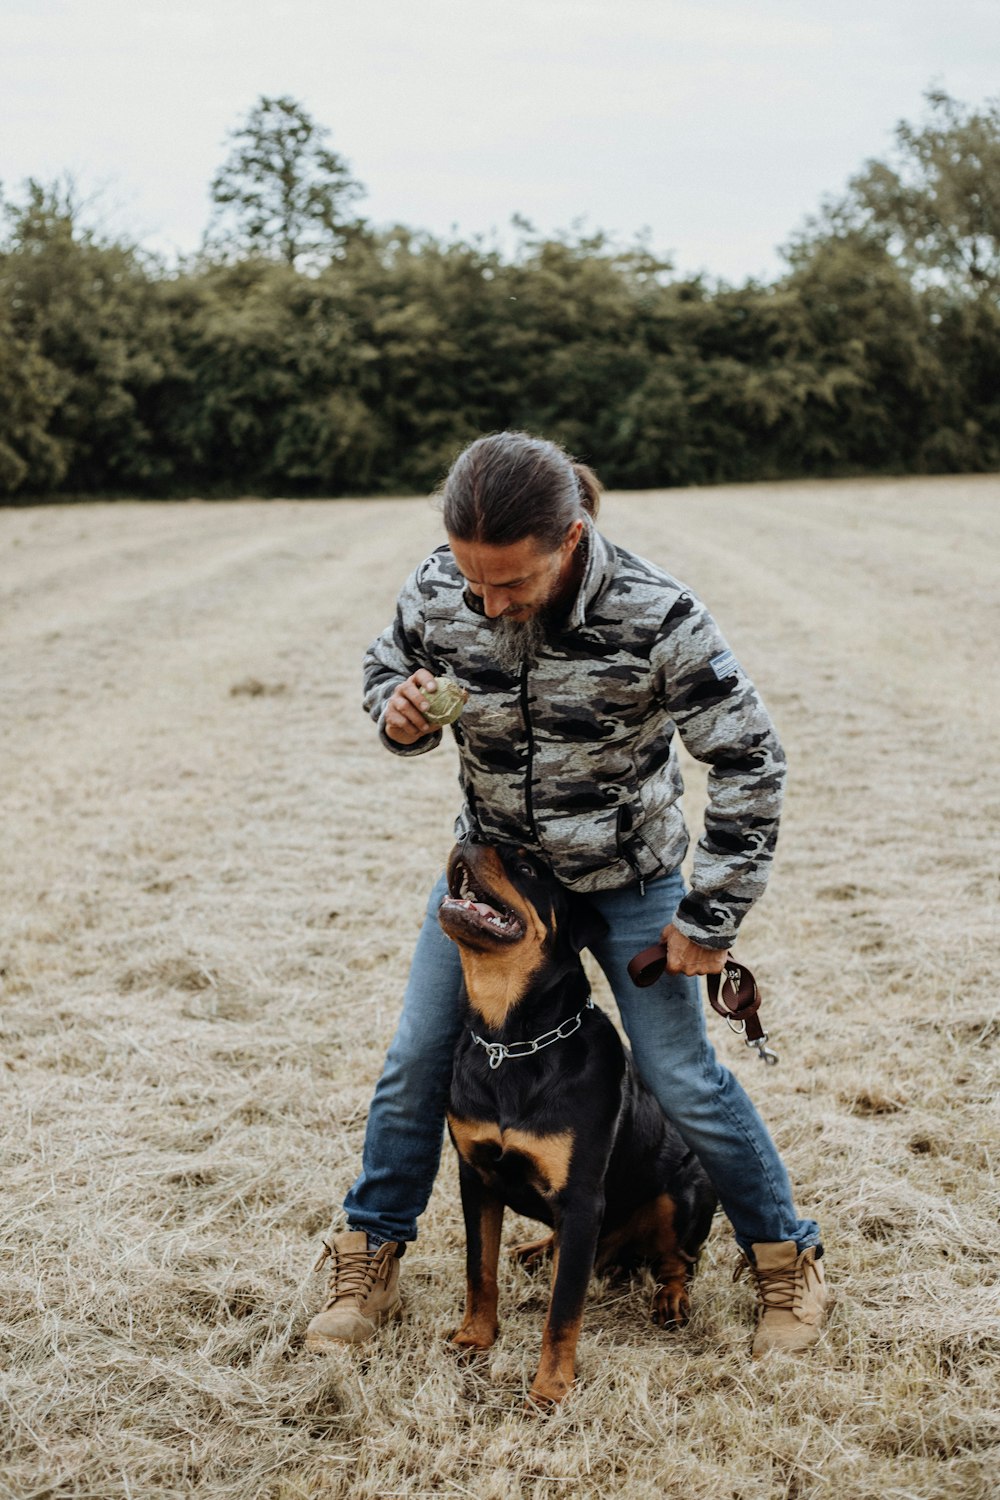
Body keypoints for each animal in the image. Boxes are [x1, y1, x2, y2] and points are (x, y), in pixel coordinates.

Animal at [440, 834, 719, 1404]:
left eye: (527, 868)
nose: (469, 835)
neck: (511, 1041)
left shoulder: (584, 1194)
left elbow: (563, 1309)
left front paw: (550, 1390)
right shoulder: (475, 1176)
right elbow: (479, 1269)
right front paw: (475, 1338)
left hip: (687, 1188)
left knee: (679, 1260)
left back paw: (670, 1299)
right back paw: (540, 1249)